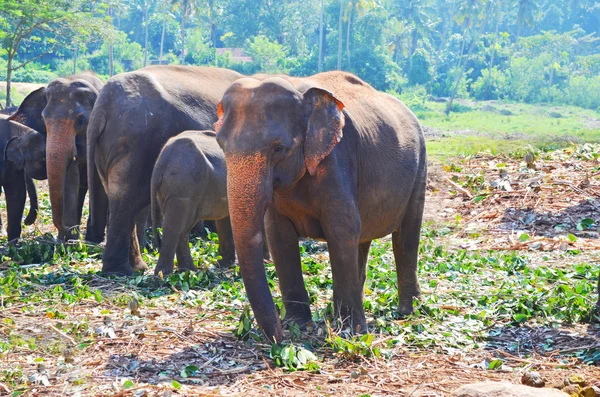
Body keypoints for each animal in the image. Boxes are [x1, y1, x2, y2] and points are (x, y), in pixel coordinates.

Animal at [86, 65, 241, 276]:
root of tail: (102, 104)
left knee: (121, 200)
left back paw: (134, 268)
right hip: (139, 144)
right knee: (127, 202)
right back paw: (123, 271)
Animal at [214, 72, 426, 344]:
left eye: (278, 148)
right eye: (221, 145)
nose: (280, 336)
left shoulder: (336, 161)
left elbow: (341, 230)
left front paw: (351, 333)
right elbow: (279, 237)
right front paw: (298, 325)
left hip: (420, 167)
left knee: (407, 236)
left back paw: (408, 312)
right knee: (362, 239)